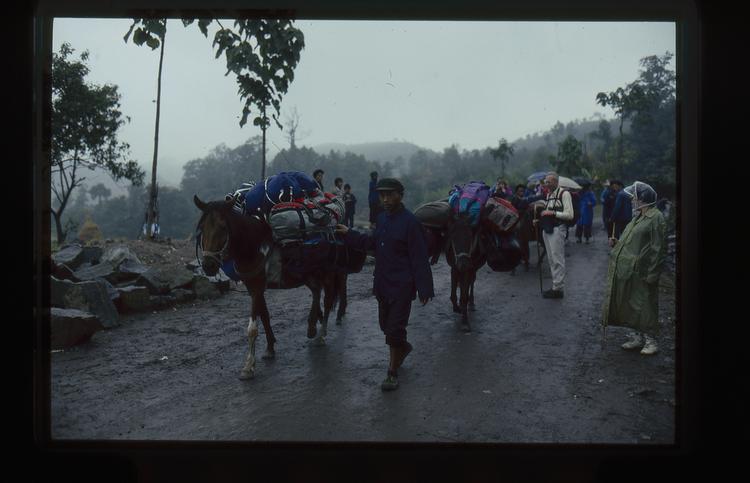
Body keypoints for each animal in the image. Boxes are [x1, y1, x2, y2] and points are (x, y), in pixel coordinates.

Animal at [194, 195, 346, 380]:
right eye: (202, 228)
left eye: (223, 227)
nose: (208, 266)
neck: (253, 246)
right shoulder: (253, 287)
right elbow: (265, 316)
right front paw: (270, 348)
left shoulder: (258, 287)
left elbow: (252, 328)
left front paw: (248, 366)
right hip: (307, 274)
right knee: (316, 291)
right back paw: (311, 326)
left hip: (327, 273)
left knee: (328, 299)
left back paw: (321, 335)